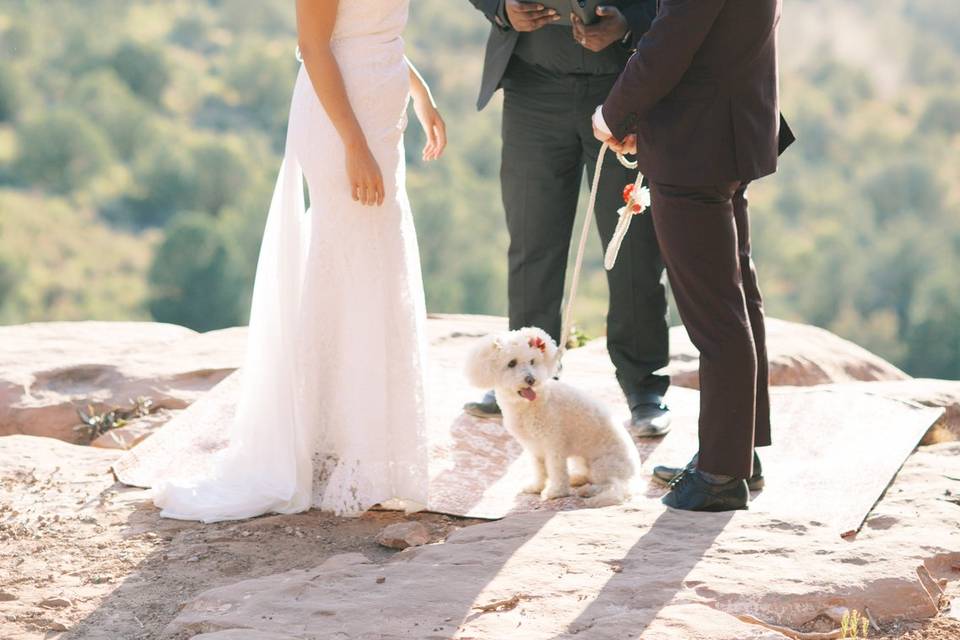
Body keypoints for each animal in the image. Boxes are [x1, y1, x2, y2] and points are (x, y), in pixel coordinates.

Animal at [466, 328, 640, 508]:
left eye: (532, 361)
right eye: (512, 363)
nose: (531, 379)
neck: (530, 404)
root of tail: (634, 478)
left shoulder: (554, 444)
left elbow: (556, 470)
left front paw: (556, 492)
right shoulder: (534, 447)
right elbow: (539, 469)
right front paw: (536, 487)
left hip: (603, 465)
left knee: (613, 485)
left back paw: (589, 491)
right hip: (582, 460)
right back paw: (577, 479)